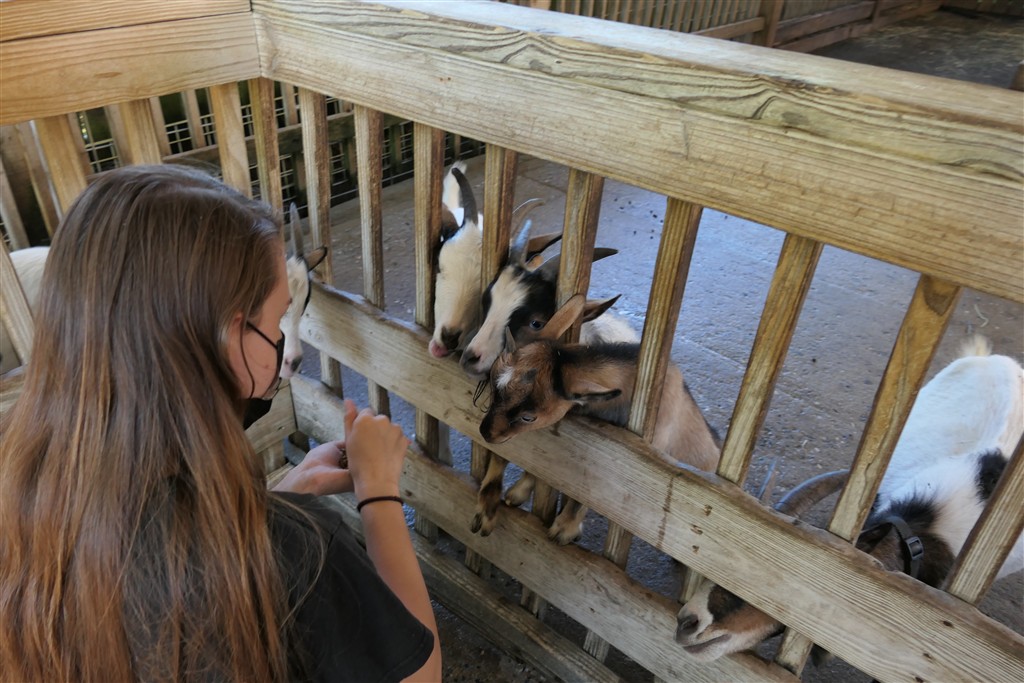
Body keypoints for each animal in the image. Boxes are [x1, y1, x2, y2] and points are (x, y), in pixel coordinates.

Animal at [477, 294, 721, 544]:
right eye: (494, 388)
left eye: (528, 417)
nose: (485, 432)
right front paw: (515, 494)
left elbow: (593, 489)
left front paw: (564, 529)